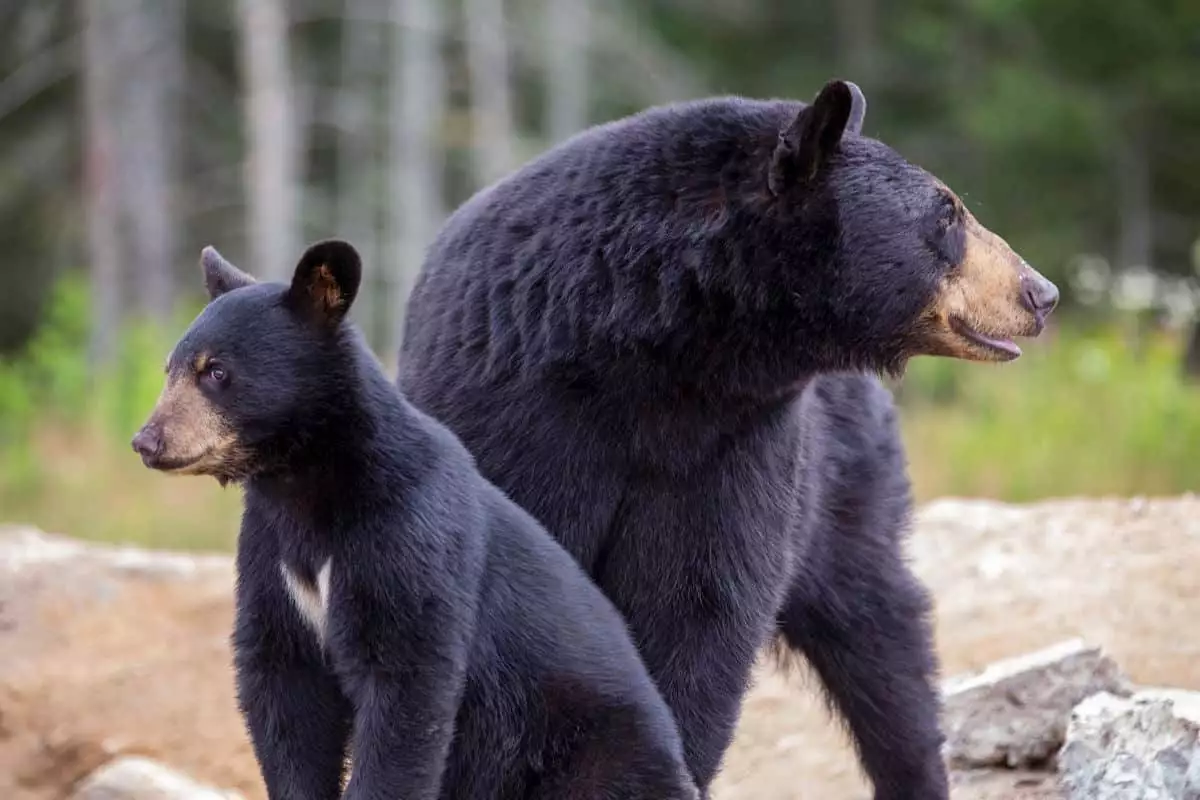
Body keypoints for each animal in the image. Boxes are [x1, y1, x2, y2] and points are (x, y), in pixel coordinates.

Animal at [131, 240, 700, 800]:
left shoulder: (406, 534)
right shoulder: (271, 549)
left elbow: (406, 682)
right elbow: (284, 684)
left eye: (216, 371)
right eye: (169, 368)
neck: (307, 484)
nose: (147, 441)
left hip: (585, 747)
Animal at [395, 78, 1059, 799]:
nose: (1041, 292)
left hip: (841, 495)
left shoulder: (734, 447)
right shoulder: (516, 416)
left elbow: (698, 610)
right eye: (947, 215)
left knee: (882, 646)